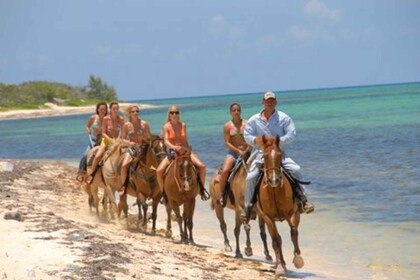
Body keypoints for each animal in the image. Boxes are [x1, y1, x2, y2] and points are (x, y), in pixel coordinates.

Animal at [256, 136, 306, 276]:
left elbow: (294, 232)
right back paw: (281, 263)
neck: (274, 191)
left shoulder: (293, 213)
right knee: (276, 239)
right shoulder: (268, 218)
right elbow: (276, 240)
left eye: (280, 155)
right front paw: (279, 266)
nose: (274, 180)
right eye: (265, 156)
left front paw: (298, 259)